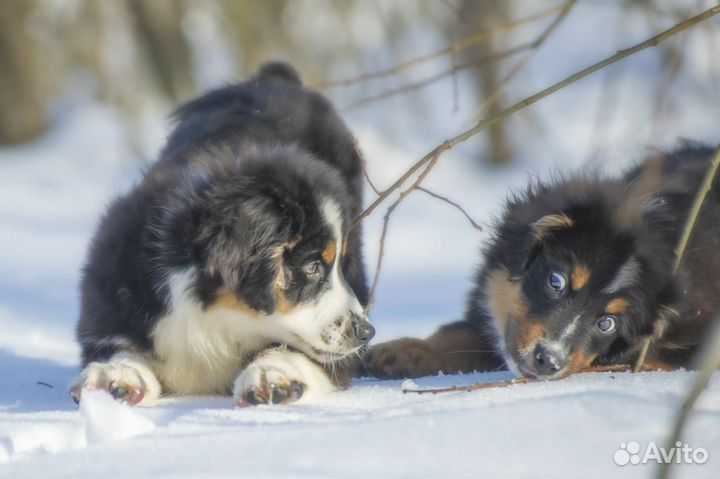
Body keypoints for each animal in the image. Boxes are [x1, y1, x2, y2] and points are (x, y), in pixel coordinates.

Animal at [71, 62, 374, 408]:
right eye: (312, 267)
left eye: (335, 265)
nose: (367, 333)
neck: (218, 317)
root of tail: (277, 78)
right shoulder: (113, 290)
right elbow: (118, 344)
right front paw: (116, 374)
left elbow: (299, 353)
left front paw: (272, 375)